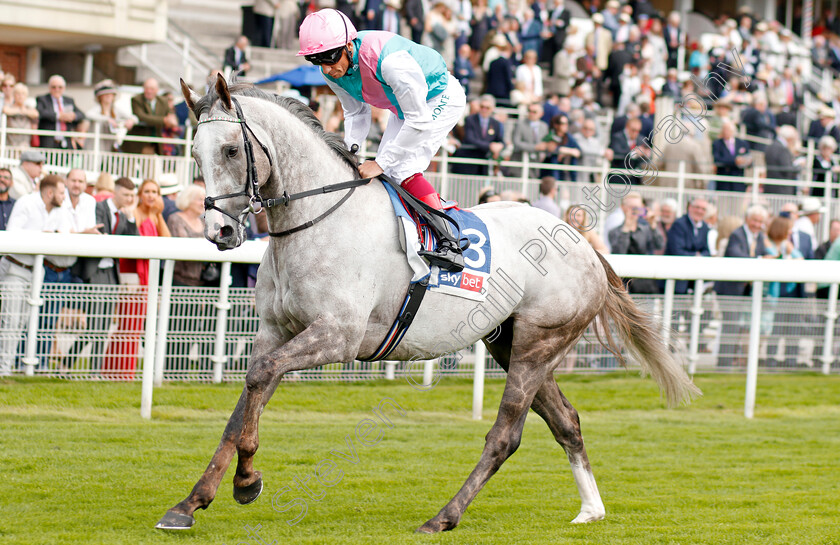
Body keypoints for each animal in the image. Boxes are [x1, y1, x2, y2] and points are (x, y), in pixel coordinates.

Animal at [158, 75, 704, 532]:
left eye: (231, 149)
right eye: (194, 154)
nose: (219, 231)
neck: (317, 221)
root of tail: (583, 243)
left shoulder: (337, 335)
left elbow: (260, 378)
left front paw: (247, 481)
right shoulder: (275, 331)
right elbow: (245, 399)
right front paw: (191, 502)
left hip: (538, 343)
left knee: (506, 435)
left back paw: (443, 517)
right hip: (512, 342)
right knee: (566, 420)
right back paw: (591, 509)